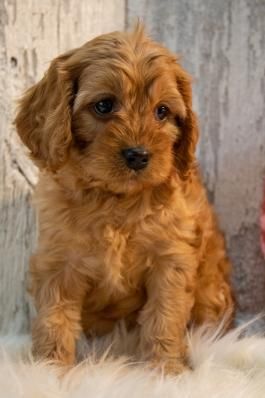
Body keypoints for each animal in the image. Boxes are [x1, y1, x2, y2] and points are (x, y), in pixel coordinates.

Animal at [14, 25, 233, 374]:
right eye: (104, 105)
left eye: (162, 111)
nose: (138, 155)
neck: (115, 198)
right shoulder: (58, 263)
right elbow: (53, 319)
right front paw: (50, 370)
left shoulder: (170, 260)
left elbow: (164, 317)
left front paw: (165, 370)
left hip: (212, 291)